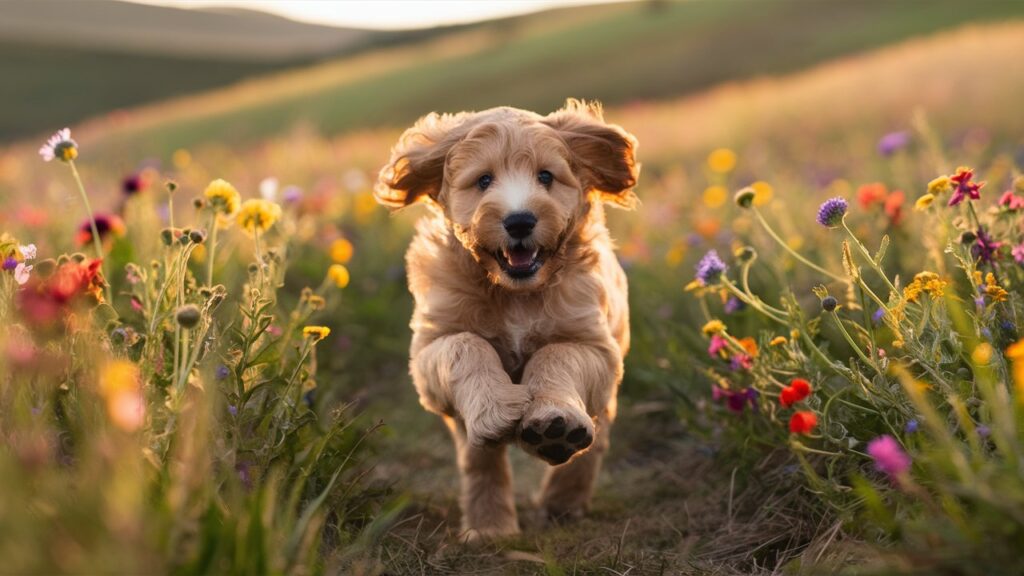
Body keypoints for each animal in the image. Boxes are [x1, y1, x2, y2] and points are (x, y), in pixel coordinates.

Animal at [372, 97, 634, 537]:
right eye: (483, 180)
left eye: (545, 176)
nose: (520, 220)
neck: (515, 294)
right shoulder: (428, 352)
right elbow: (466, 344)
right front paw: (498, 407)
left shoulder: (597, 345)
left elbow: (556, 354)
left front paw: (555, 422)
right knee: (481, 460)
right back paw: (489, 527)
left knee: (595, 443)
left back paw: (562, 498)